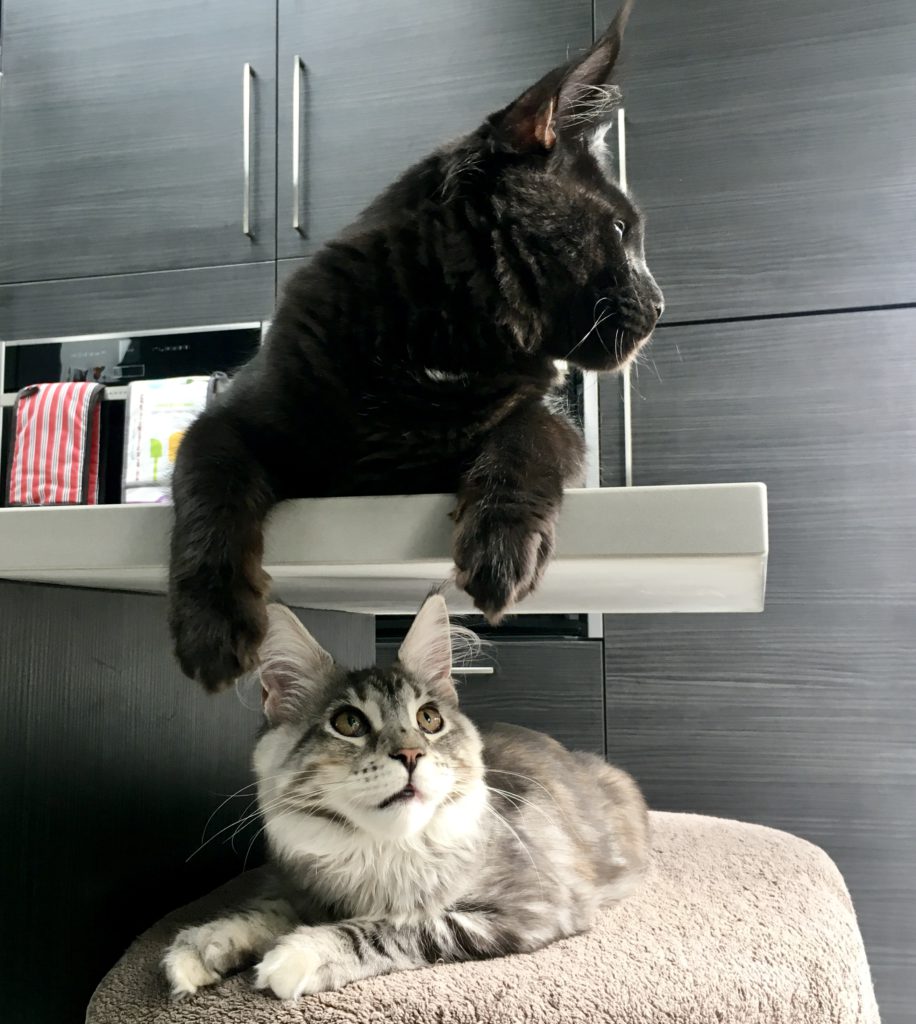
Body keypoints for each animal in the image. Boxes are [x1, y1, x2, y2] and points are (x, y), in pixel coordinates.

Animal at [166, 593, 650, 999]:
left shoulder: (531, 907)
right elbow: (264, 910)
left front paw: (301, 953)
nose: (412, 754)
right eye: (349, 723)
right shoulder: (301, 886)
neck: (380, 851)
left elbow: (397, 927)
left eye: (429, 719)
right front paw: (205, 943)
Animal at [167, 0, 663, 692]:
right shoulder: (228, 418)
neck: (439, 344)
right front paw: (211, 619)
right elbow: (210, 478)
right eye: (619, 231)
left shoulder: (550, 421)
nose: (661, 306)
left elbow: (529, 433)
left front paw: (503, 542)